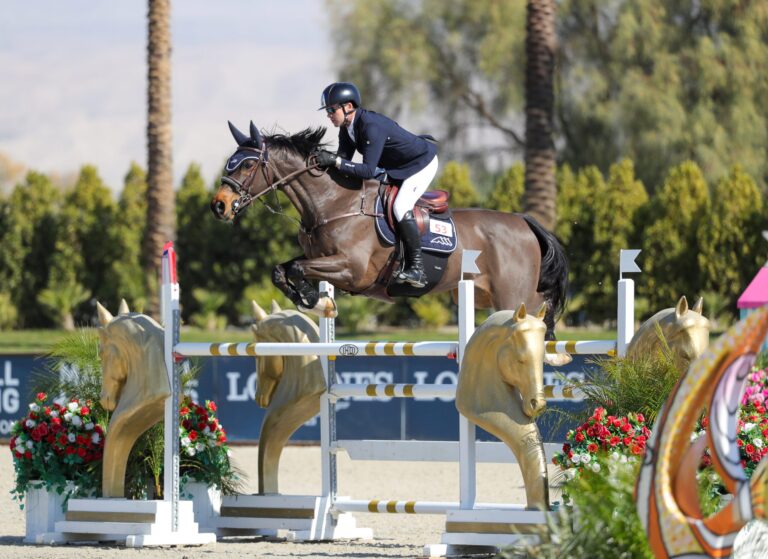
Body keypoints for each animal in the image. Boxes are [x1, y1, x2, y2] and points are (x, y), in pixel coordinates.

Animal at [210, 123, 568, 364]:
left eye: (247, 164)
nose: (219, 206)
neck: (333, 203)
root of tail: (524, 222)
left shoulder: (353, 271)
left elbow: (297, 267)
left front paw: (316, 302)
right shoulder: (321, 258)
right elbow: (282, 270)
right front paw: (315, 301)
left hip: (512, 294)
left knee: (538, 307)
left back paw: (552, 350)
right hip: (485, 295)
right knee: (540, 305)